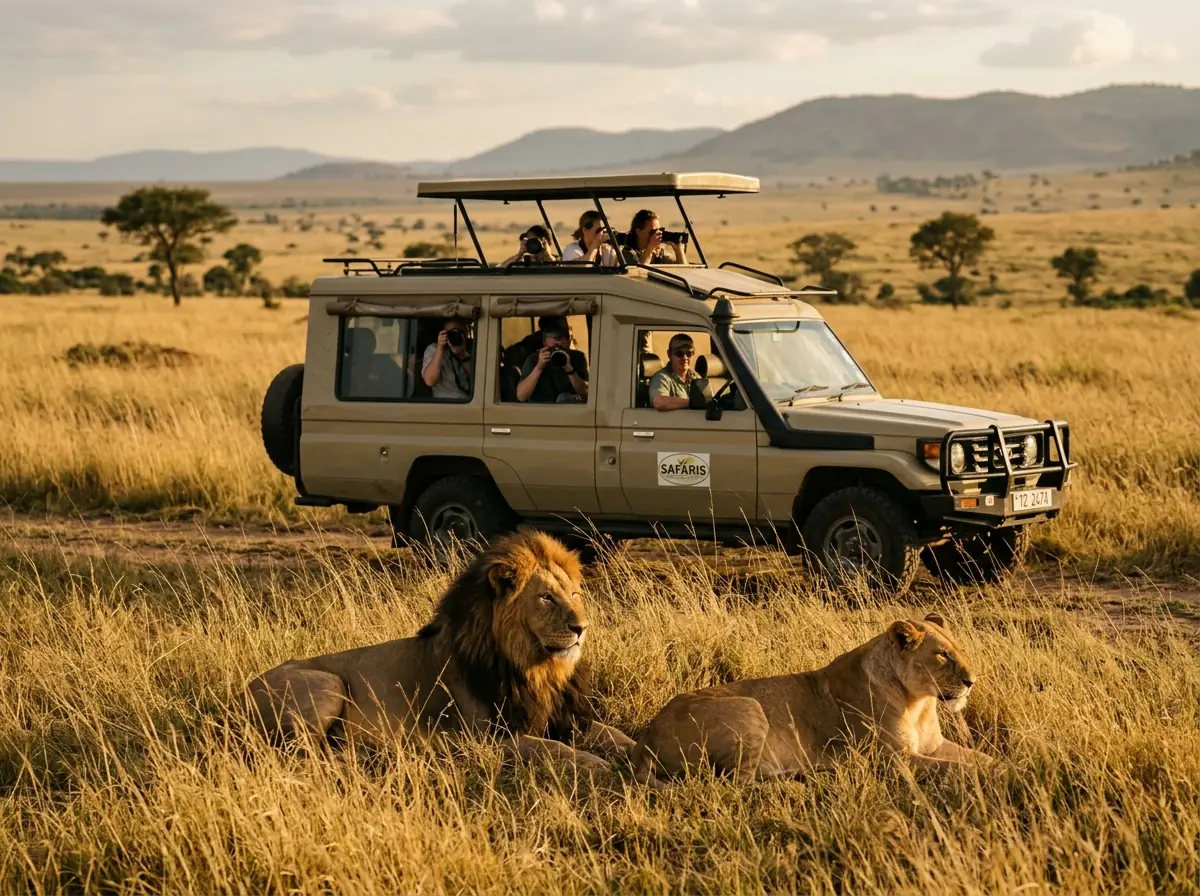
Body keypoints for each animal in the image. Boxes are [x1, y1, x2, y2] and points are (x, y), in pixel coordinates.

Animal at [243, 529, 636, 774]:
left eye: (575, 594)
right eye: (546, 598)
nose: (582, 628)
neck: (535, 669)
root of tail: (242, 691)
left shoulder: (563, 718)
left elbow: (610, 733)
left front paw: (637, 751)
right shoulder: (486, 739)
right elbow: (551, 749)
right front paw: (596, 764)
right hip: (327, 685)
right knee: (299, 754)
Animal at [630, 613, 991, 784]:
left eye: (958, 649)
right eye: (942, 655)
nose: (972, 682)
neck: (919, 703)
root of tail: (645, 740)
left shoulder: (933, 746)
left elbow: (980, 758)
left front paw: (999, 765)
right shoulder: (893, 759)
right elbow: (957, 768)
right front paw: (994, 776)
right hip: (750, 707)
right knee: (736, 782)